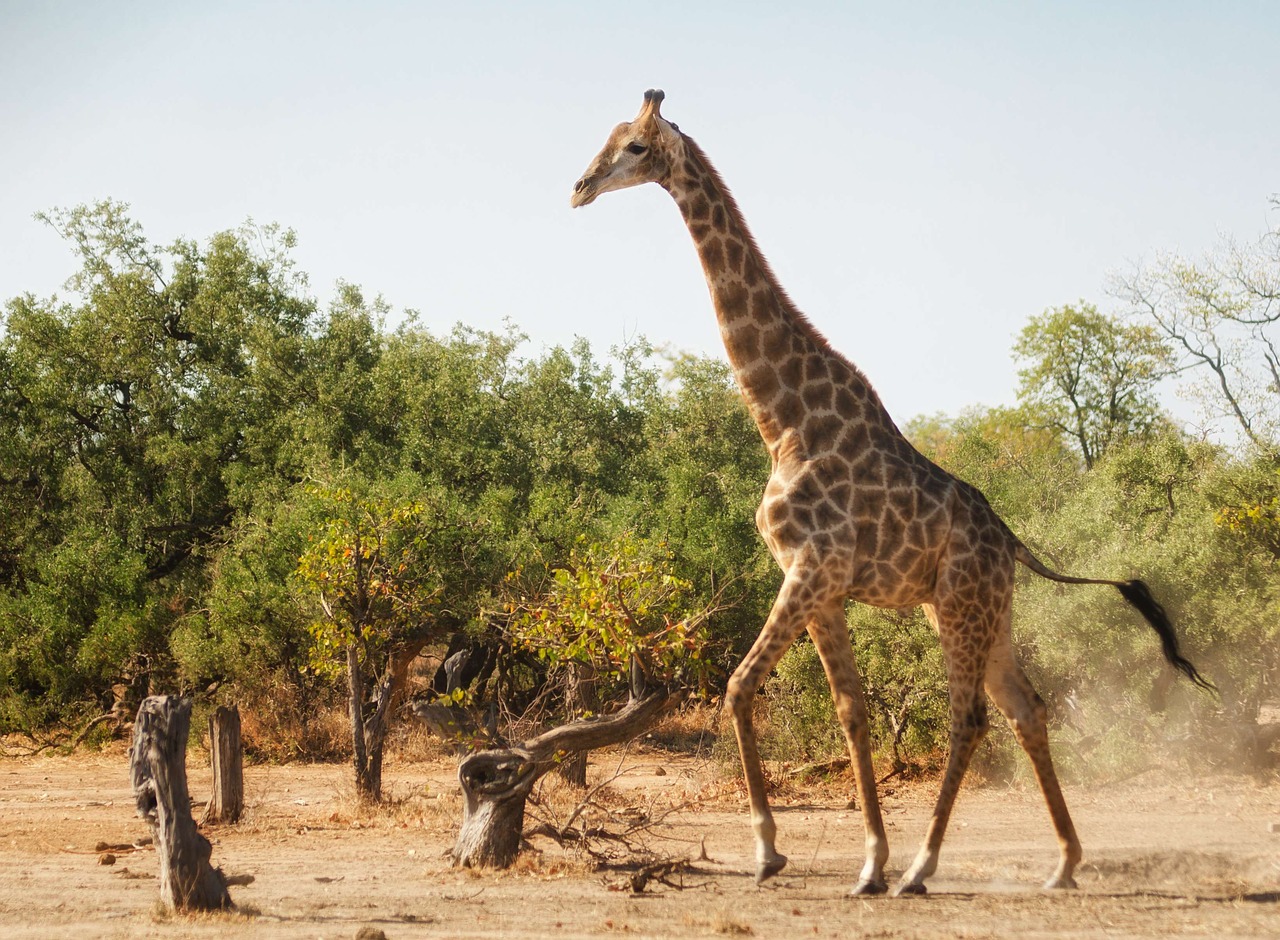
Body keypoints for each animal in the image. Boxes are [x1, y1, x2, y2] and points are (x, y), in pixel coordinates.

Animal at [570, 94, 1208, 896]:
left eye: (633, 146)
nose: (579, 188)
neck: (781, 419)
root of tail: (1014, 544)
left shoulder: (812, 567)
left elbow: (741, 689)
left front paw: (773, 852)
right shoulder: (817, 582)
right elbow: (853, 709)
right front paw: (866, 860)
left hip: (962, 606)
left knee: (971, 719)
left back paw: (924, 867)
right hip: (977, 611)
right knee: (1027, 709)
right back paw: (1061, 862)